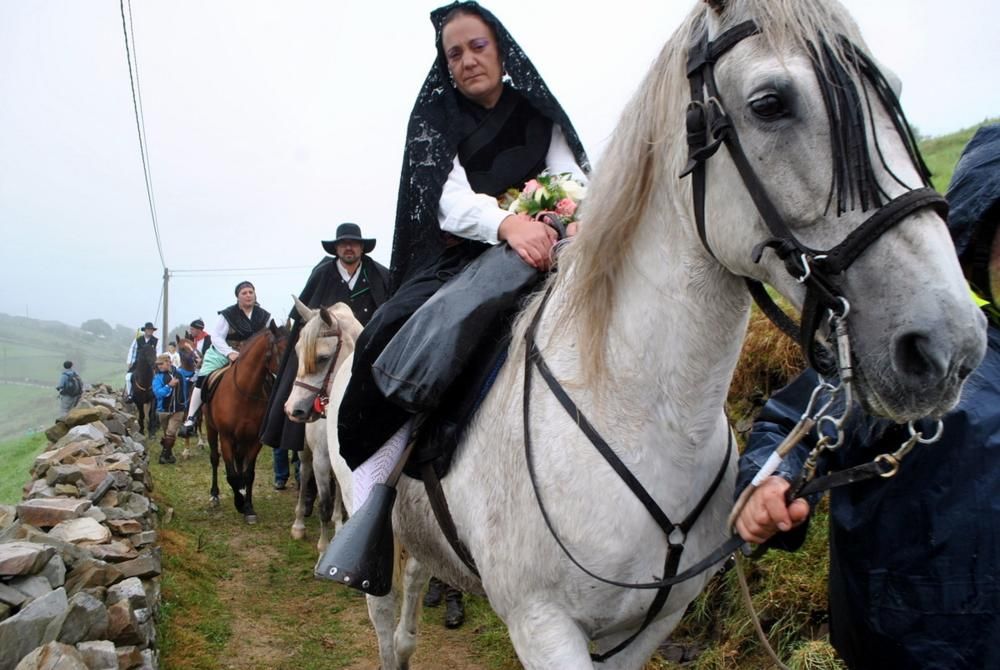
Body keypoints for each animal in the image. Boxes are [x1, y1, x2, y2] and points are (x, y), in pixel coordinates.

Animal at [205, 324, 288, 524]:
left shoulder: (255, 440)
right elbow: (231, 475)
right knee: (214, 458)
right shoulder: (226, 437)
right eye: (282, 350)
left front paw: (248, 507)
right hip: (211, 429)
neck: (246, 393)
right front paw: (239, 503)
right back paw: (214, 495)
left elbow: (248, 474)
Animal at [300, 1, 988, 668]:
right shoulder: (544, 626)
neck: (639, 411)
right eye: (769, 103)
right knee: (388, 630)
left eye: (892, 90)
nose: (949, 344)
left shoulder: (648, 627)